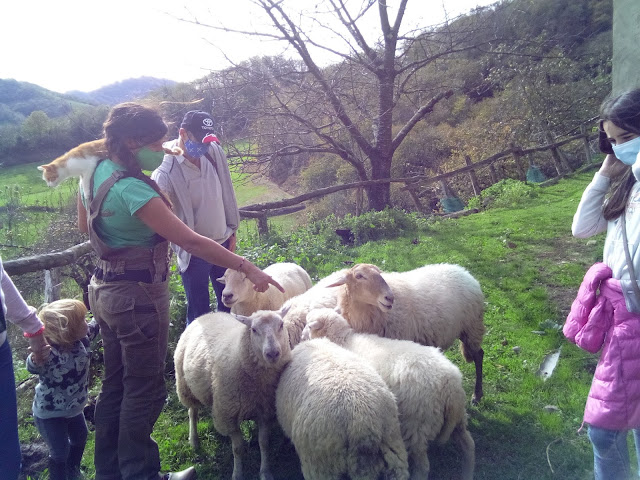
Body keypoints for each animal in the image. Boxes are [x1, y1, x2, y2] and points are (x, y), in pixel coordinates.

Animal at [38, 137, 180, 195]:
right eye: (45, 181)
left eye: (49, 178)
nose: (49, 186)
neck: (67, 166)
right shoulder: (82, 172)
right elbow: (81, 181)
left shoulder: (89, 166)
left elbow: (85, 182)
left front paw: (87, 193)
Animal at [175, 310, 292, 480]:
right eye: (253, 330)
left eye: (281, 325)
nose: (273, 353)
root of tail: (207, 314)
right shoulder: (229, 416)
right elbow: (238, 449)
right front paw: (237, 474)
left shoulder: (265, 412)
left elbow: (264, 443)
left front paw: (265, 472)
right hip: (186, 387)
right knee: (192, 413)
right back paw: (194, 440)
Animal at [304, 308, 476, 480]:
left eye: (308, 324)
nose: (302, 336)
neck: (344, 340)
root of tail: (450, 387)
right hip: (459, 419)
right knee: (468, 444)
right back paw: (468, 472)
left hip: (417, 424)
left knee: (423, 464)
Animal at [330, 262, 484, 404]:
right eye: (359, 276)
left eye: (380, 274)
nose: (389, 298)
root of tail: (463, 271)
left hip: (472, 327)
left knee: (479, 355)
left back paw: (477, 395)